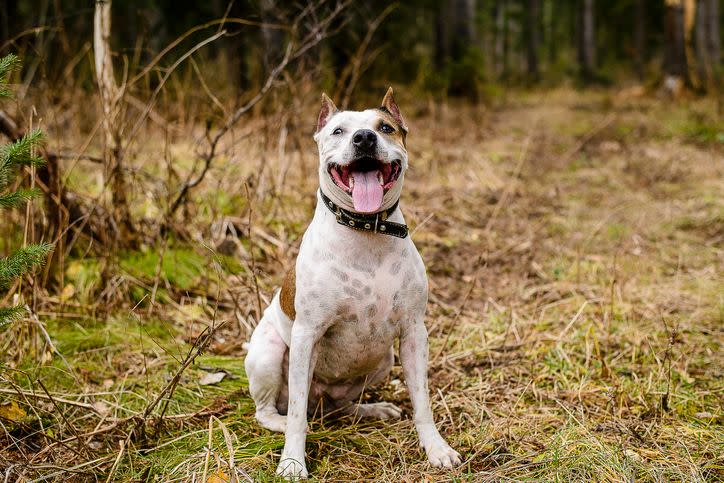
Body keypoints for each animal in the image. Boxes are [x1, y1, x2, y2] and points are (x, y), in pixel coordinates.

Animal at [243, 89, 458, 478]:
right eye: (339, 131)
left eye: (385, 127)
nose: (364, 138)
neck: (365, 229)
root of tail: (322, 405)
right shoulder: (306, 334)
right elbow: (296, 414)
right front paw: (293, 461)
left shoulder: (414, 332)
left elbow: (422, 400)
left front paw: (436, 448)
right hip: (269, 352)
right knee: (274, 411)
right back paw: (283, 422)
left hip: (383, 360)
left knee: (339, 406)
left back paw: (370, 410)